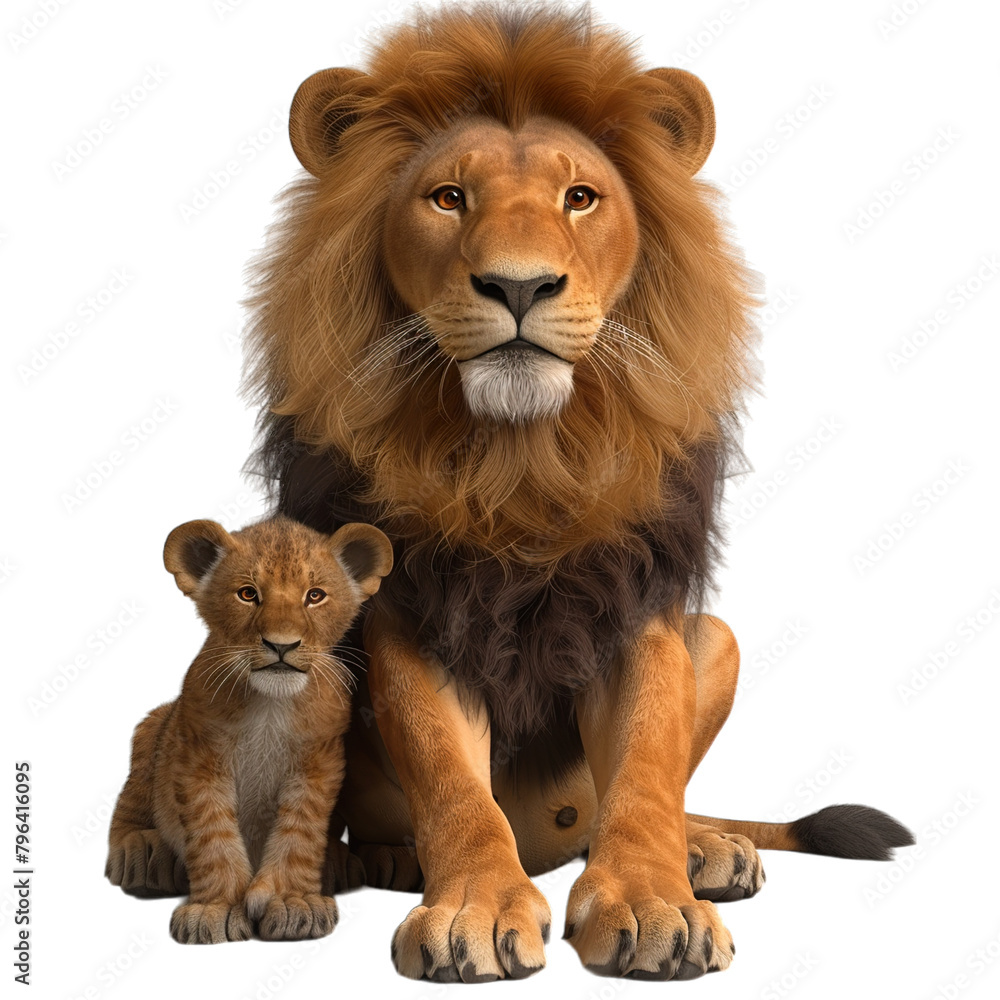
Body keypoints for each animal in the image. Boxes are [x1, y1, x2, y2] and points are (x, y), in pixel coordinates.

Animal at [105, 515, 392, 943]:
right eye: (247, 594)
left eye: (315, 596)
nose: (281, 645)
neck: (270, 705)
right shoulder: (199, 756)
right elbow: (212, 836)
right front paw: (216, 909)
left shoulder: (318, 761)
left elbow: (299, 835)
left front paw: (294, 902)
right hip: (154, 726)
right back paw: (141, 853)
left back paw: (339, 863)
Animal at [239, 2, 912, 982]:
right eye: (449, 197)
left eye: (580, 198)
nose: (518, 285)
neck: (524, 458)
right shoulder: (416, 611)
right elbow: (451, 779)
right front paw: (475, 907)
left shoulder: (634, 601)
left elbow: (644, 769)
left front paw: (654, 901)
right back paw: (364, 860)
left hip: (717, 637)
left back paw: (706, 848)